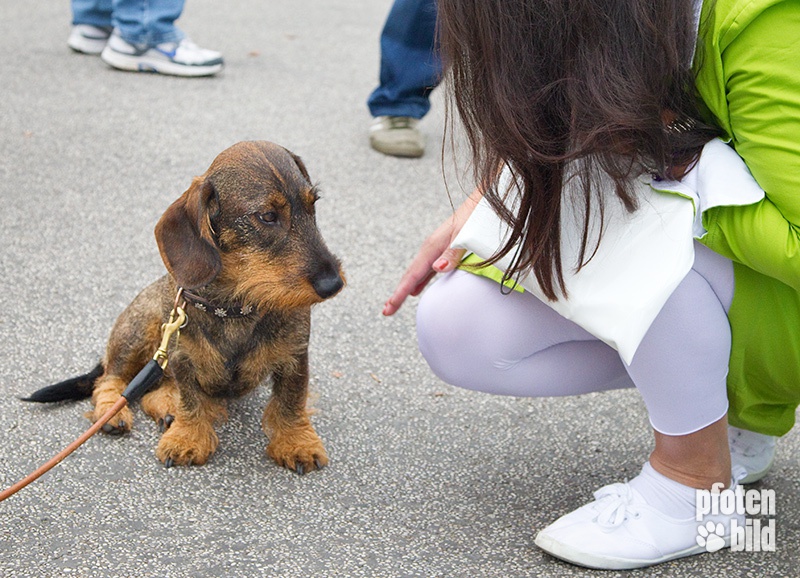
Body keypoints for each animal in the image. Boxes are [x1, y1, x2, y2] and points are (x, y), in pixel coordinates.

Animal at [24, 141, 344, 472]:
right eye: (268, 216)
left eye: (313, 204)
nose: (333, 283)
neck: (236, 305)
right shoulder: (183, 357)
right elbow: (190, 399)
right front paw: (188, 436)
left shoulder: (295, 355)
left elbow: (290, 401)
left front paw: (296, 442)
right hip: (143, 330)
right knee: (110, 380)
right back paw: (113, 412)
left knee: (153, 389)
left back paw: (167, 407)